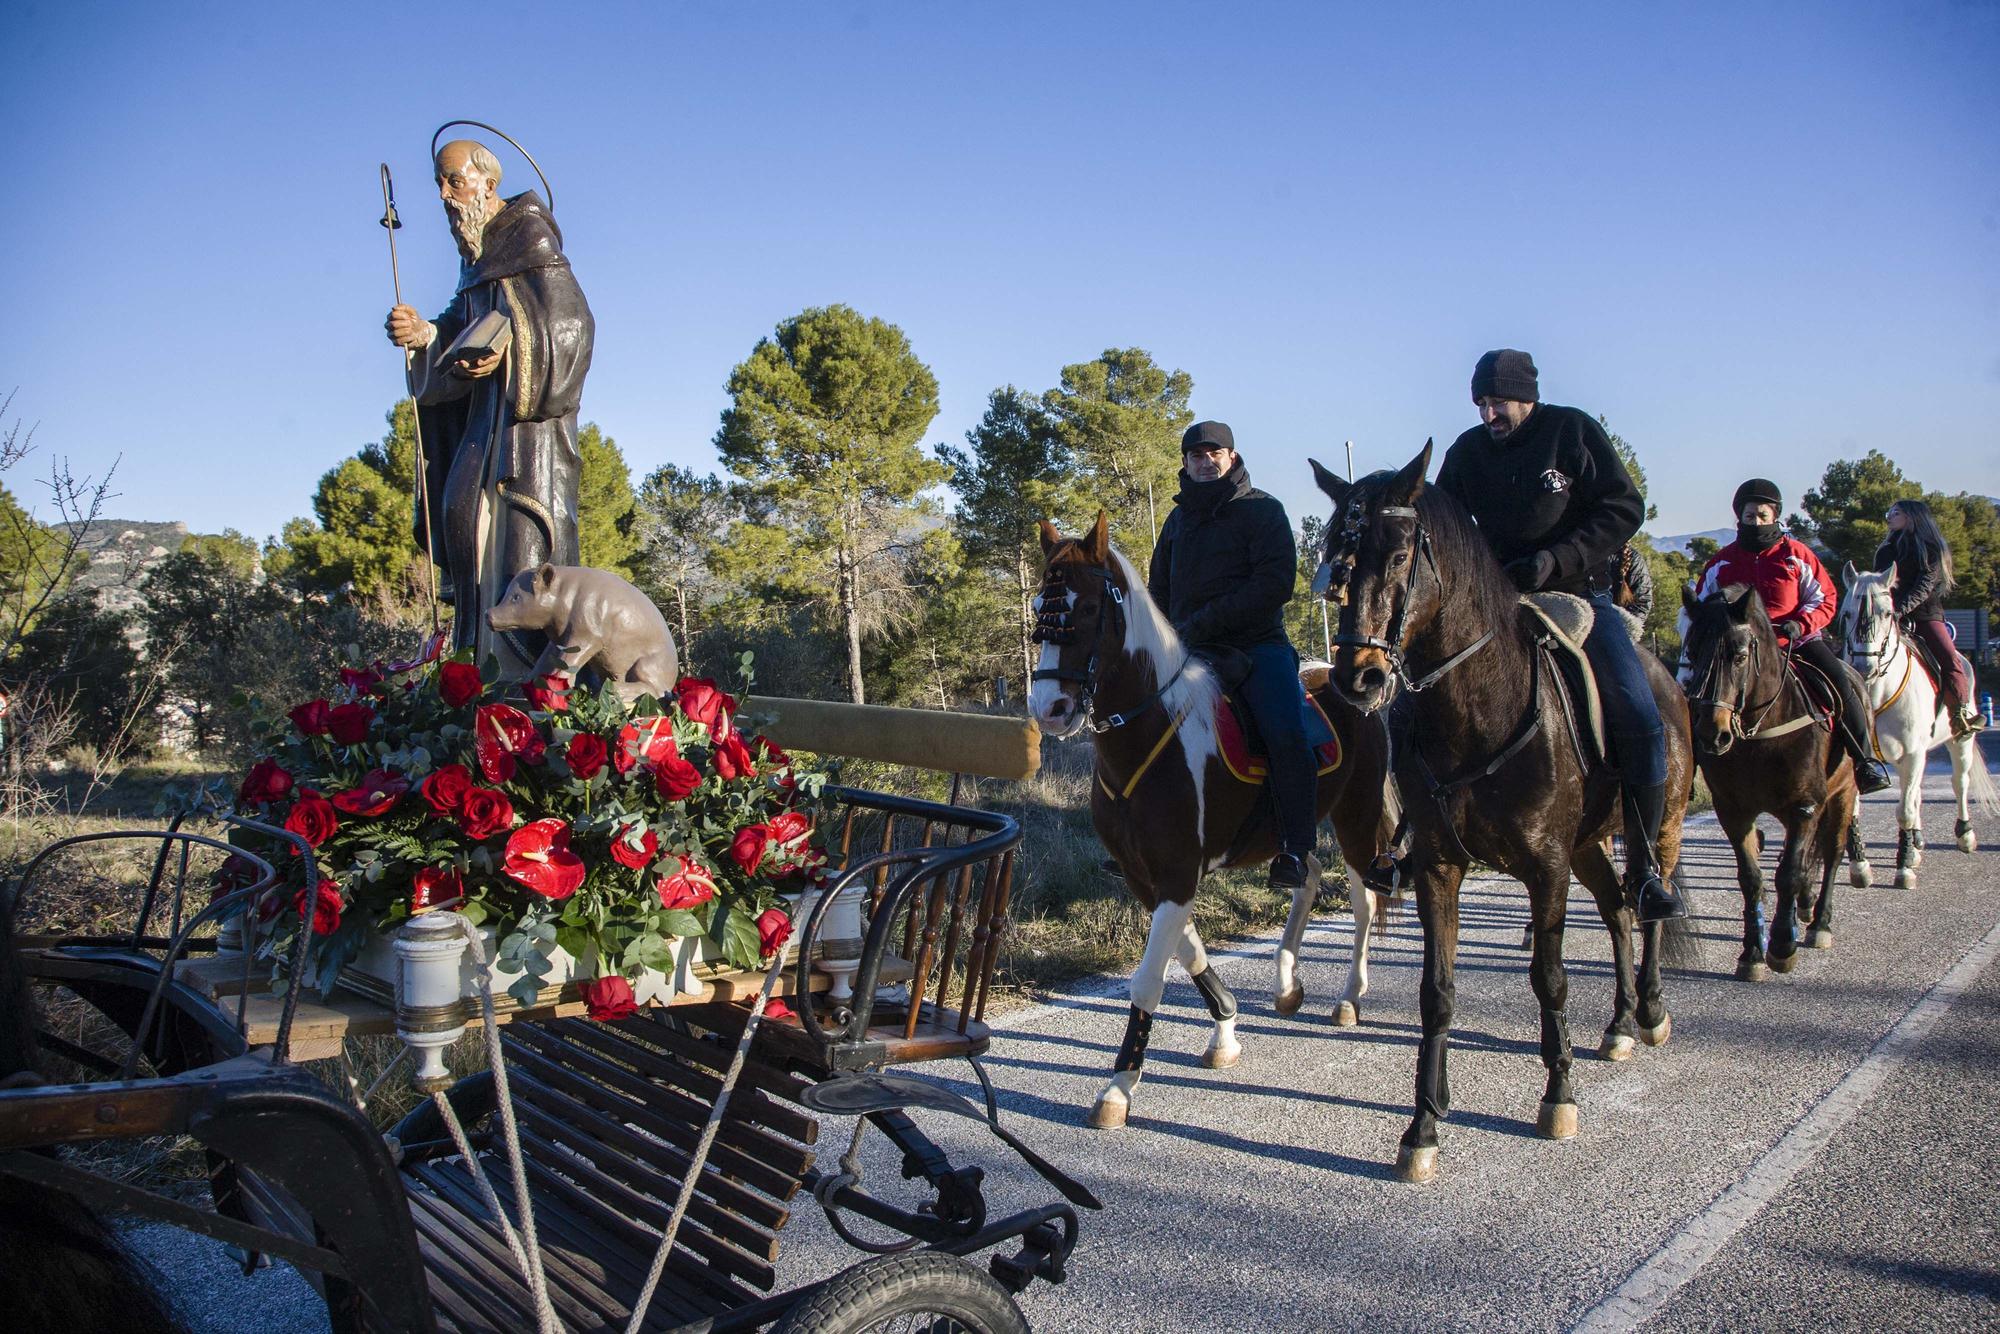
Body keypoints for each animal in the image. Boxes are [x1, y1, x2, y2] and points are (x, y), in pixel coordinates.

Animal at [1024, 516, 1400, 1136]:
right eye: (1038, 608)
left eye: (1085, 610)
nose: (1049, 709)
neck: (1152, 733)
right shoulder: (1145, 877)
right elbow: (1190, 954)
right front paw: (1225, 1031)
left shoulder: (1178, 873)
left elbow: (1150, 976)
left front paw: (1118, 1088)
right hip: (1289, 831)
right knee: (1306, 874)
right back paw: (1287, 983)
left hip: (1356, 815)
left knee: (1365, 899)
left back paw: (1349, 997)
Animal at [1312, 448, 1688, 1192]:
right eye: (1341, 555)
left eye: (1401, 553)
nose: (1357, 679)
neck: (1480, 710)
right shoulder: (1439, 867)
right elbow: (1436, 992)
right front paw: (1424, 1126)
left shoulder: (1546, 867)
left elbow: (1550, 977)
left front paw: (1559, 1097)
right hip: (1588, 846)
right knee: (1616, 911)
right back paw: (1619, 1024)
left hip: (1659, 825)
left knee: (1648, 902)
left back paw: (1651, 1010)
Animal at [1672, 584, 1856, 980]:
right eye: (1692, 652)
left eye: (1740, 656)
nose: (1711, 733)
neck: (1763, 733)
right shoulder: (1734, 811)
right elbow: (1752, 877)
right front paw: (1753, 952)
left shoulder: (1804, 806)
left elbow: (1787, 872)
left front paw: (1783, 945)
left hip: (1843, 794)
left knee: (1831, 852)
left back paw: (1819, 923)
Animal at [1832, 564, 1992, 888]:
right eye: (1847, 613)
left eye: (1887, 613)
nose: (1864, 667)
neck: (1875, 693)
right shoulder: (1859, 758)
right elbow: (1854, 811)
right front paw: (1860, 866)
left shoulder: (1912, 754)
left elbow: (1904, 811)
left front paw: (1903, 868)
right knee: (1917, 791)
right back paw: (1916, 843)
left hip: (1959, 741)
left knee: (1958, 783)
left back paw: (1964, 835)